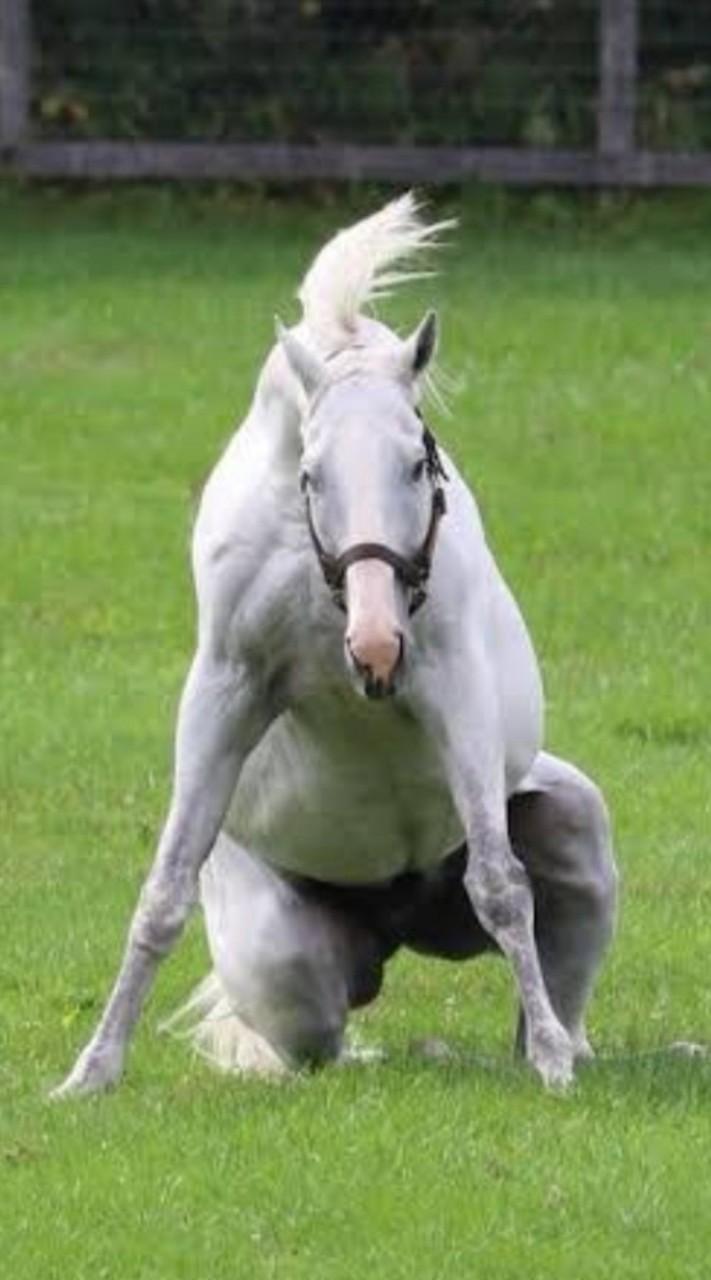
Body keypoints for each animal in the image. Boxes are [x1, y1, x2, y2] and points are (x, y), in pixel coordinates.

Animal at [53, 194, 618, 1097]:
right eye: (311, 475)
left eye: (418, 464)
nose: (377, 646)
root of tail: (398, 924)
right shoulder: (224, 692)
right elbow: (162, 896)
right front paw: (93, 1071)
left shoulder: (456, 692)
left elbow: (501, 887)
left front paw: (554, 1065)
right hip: (289, 972)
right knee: (312, 1038)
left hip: (571, 817)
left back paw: (563, 1044)